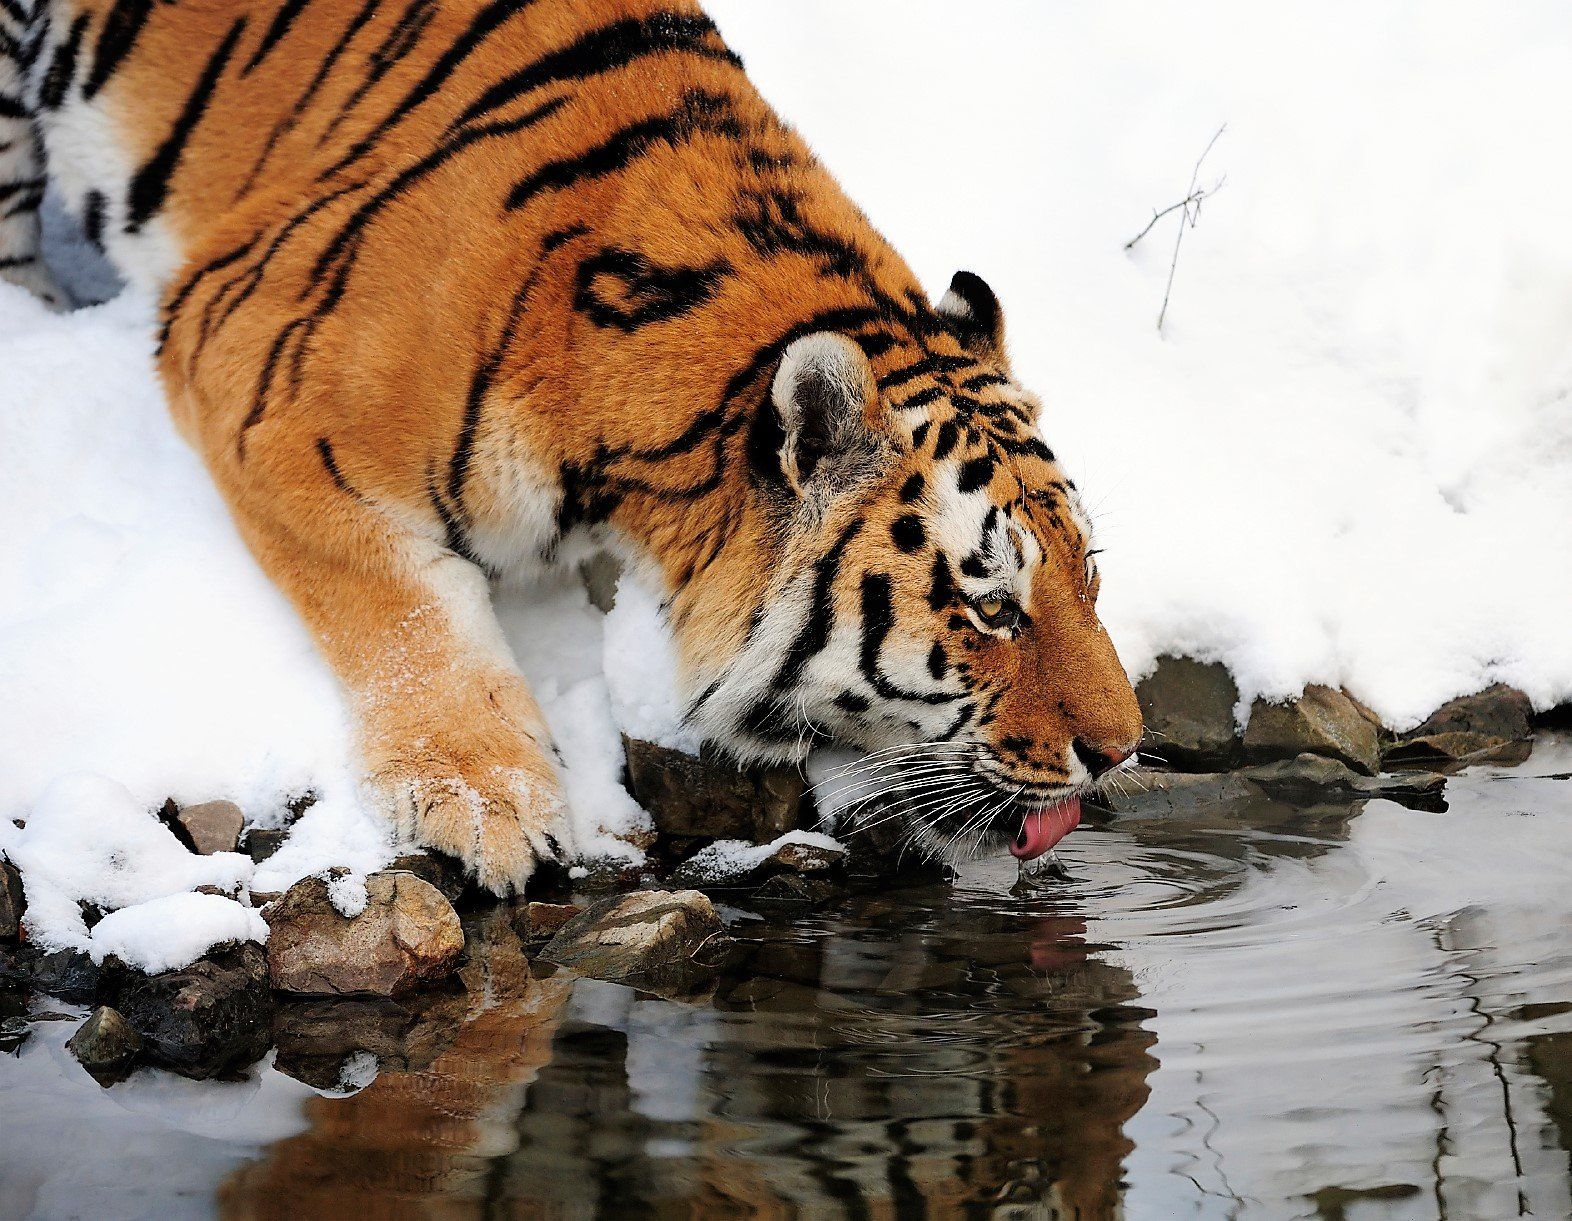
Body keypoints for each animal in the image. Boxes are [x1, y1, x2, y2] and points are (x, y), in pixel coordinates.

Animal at [0, 0, 1143, 894]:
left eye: (1089, 573)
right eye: (988, 607)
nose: (1121, 751)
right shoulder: (257, 370)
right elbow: (403, 599)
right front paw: (485, 800)